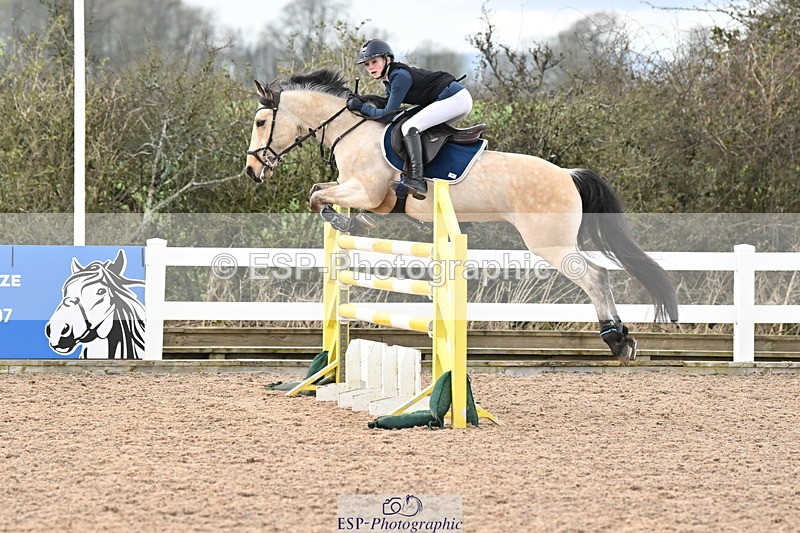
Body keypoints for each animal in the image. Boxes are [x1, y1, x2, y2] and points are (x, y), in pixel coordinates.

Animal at [244, 68, 679, 363]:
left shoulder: (366, 190)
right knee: (598, 276)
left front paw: (343, 221)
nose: (251, 171)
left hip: (550, 244)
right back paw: (623, 339)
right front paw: (351, 222)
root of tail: (568, 175)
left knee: (595, 276)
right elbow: (321, 192)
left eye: (261, 121)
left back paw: (616, 340)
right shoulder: (364, 193)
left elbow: (317, 197)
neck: (353, 131)